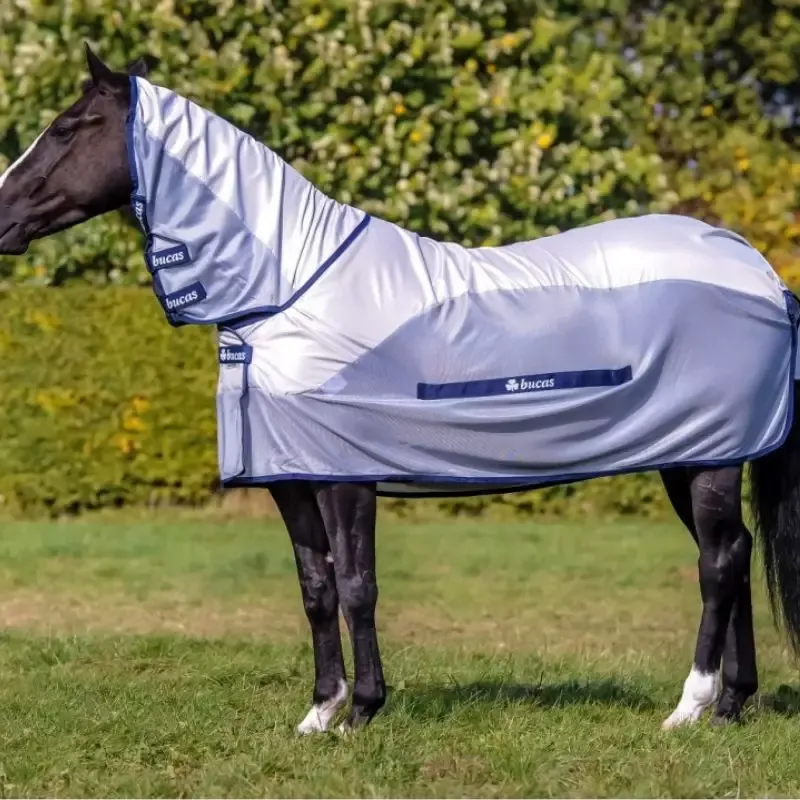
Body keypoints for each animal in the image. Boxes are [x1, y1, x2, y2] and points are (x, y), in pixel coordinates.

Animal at [1, 44, 799, 735]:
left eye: (67, 127)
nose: (0, 217)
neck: (289, 290)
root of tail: (760, 272)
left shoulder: (346, 476)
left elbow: (359, 586)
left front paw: (362, 711)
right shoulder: (292, 478)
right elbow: (316, 587)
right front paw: (318, 713)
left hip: (708, 458)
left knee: (718, 562)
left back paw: (689, 707)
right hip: (690, 455)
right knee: (735, 555)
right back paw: (730, 706)